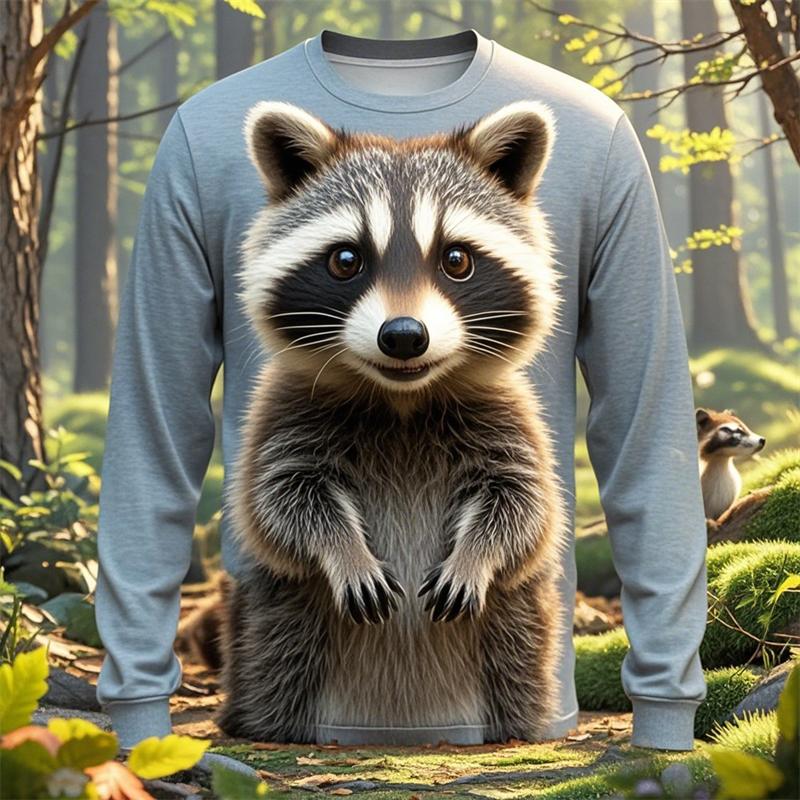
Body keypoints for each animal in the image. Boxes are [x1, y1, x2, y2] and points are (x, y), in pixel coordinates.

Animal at [215, 100, 568, 745]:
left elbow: (522, 505)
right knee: (279, 656)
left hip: (515, 623)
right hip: (280, 614)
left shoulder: (508, 416)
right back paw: (270, 723)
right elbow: (281, 502)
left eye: (456, 259)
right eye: (345, 260)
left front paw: (475, 556)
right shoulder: (286, 412)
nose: (404, 336)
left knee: (518, 655)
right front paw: (343, 551)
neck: (401, 398)